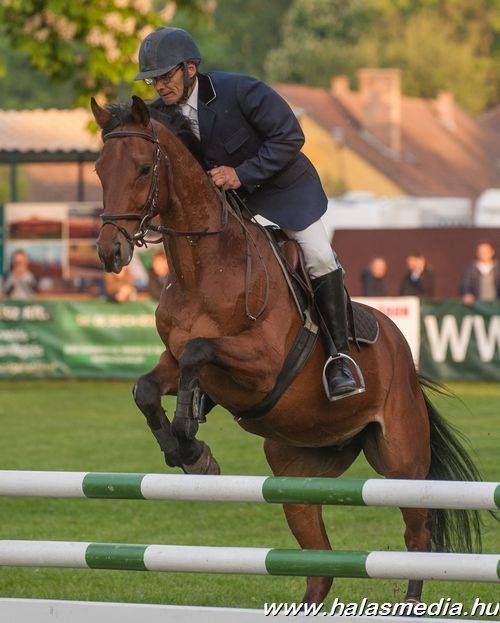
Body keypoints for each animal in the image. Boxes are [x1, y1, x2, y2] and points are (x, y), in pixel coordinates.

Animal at [91, 95, 482, 605]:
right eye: (99, 169)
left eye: (141, 168)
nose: (109, 251)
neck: (205, 268)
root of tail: (402, 352)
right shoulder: (172, 363)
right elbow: (146, 388)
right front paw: (189, 453)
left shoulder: (261, 365)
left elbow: (199, 350)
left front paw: (188, 429)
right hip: (297, 471)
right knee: (319, 565)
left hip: (403, 463)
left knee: (417, 538)